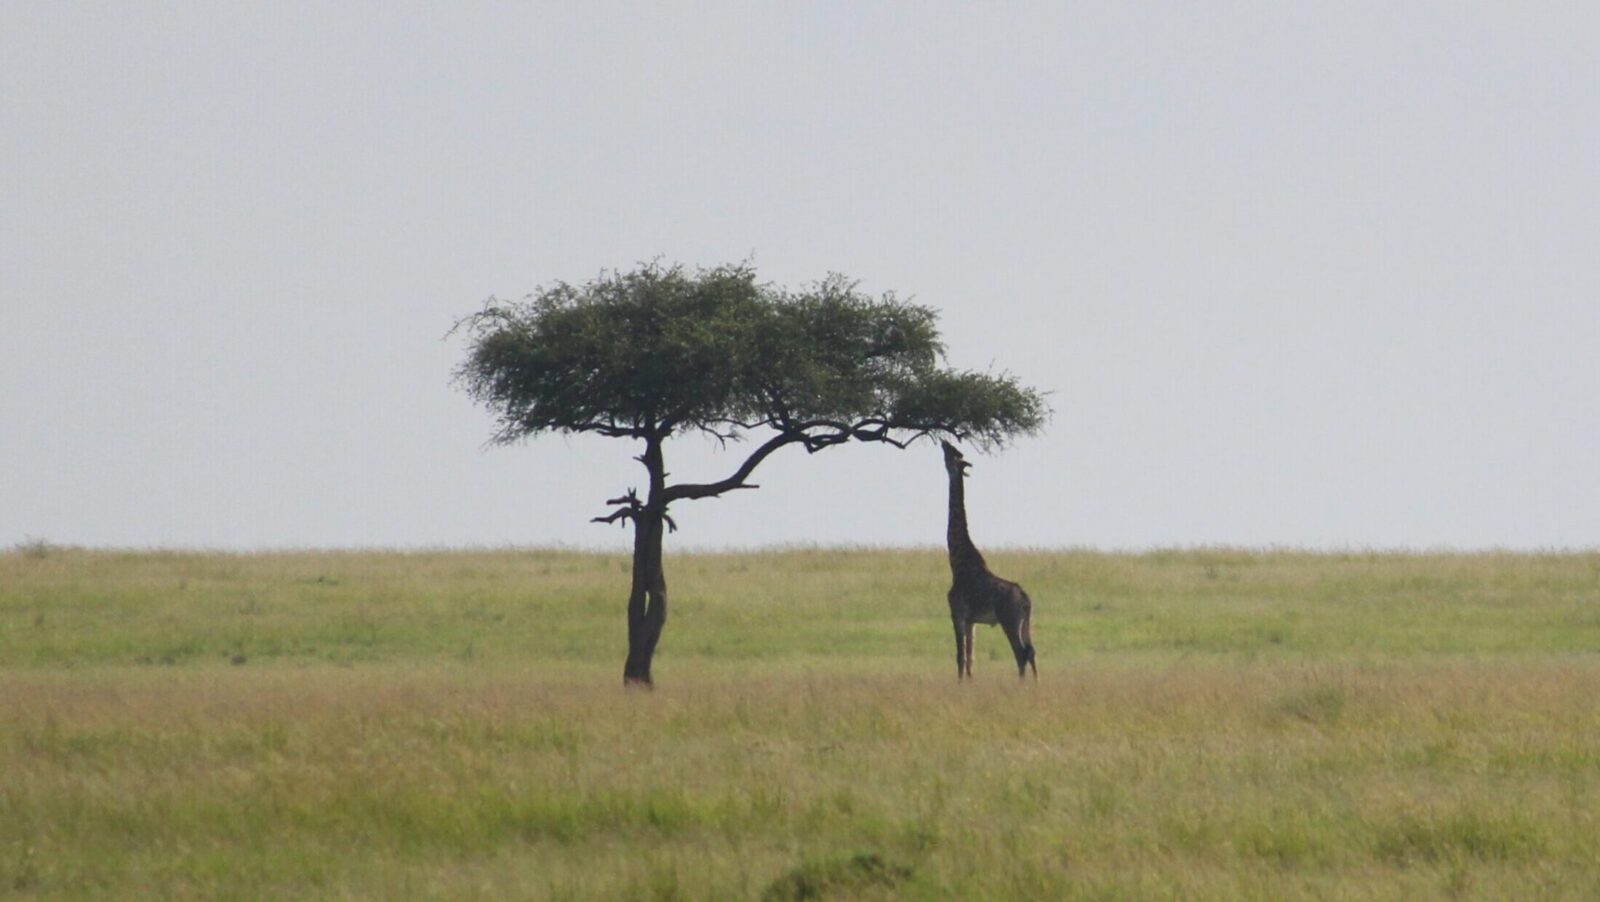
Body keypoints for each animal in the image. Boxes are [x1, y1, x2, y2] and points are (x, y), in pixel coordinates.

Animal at [934, 441, 1036, 681]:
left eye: (952, 454)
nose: (943, 441)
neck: (956, 562)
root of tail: (1026, 599)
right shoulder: (972, 621)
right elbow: (971, 659)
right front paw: (970, 684)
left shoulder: (957, 614)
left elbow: (960, 657)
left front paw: (960, 685)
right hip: (1025, 622)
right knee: (1031, 651)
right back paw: (1035, 684)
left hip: (1009, 620)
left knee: (1021, 653)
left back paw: (1022, 685)